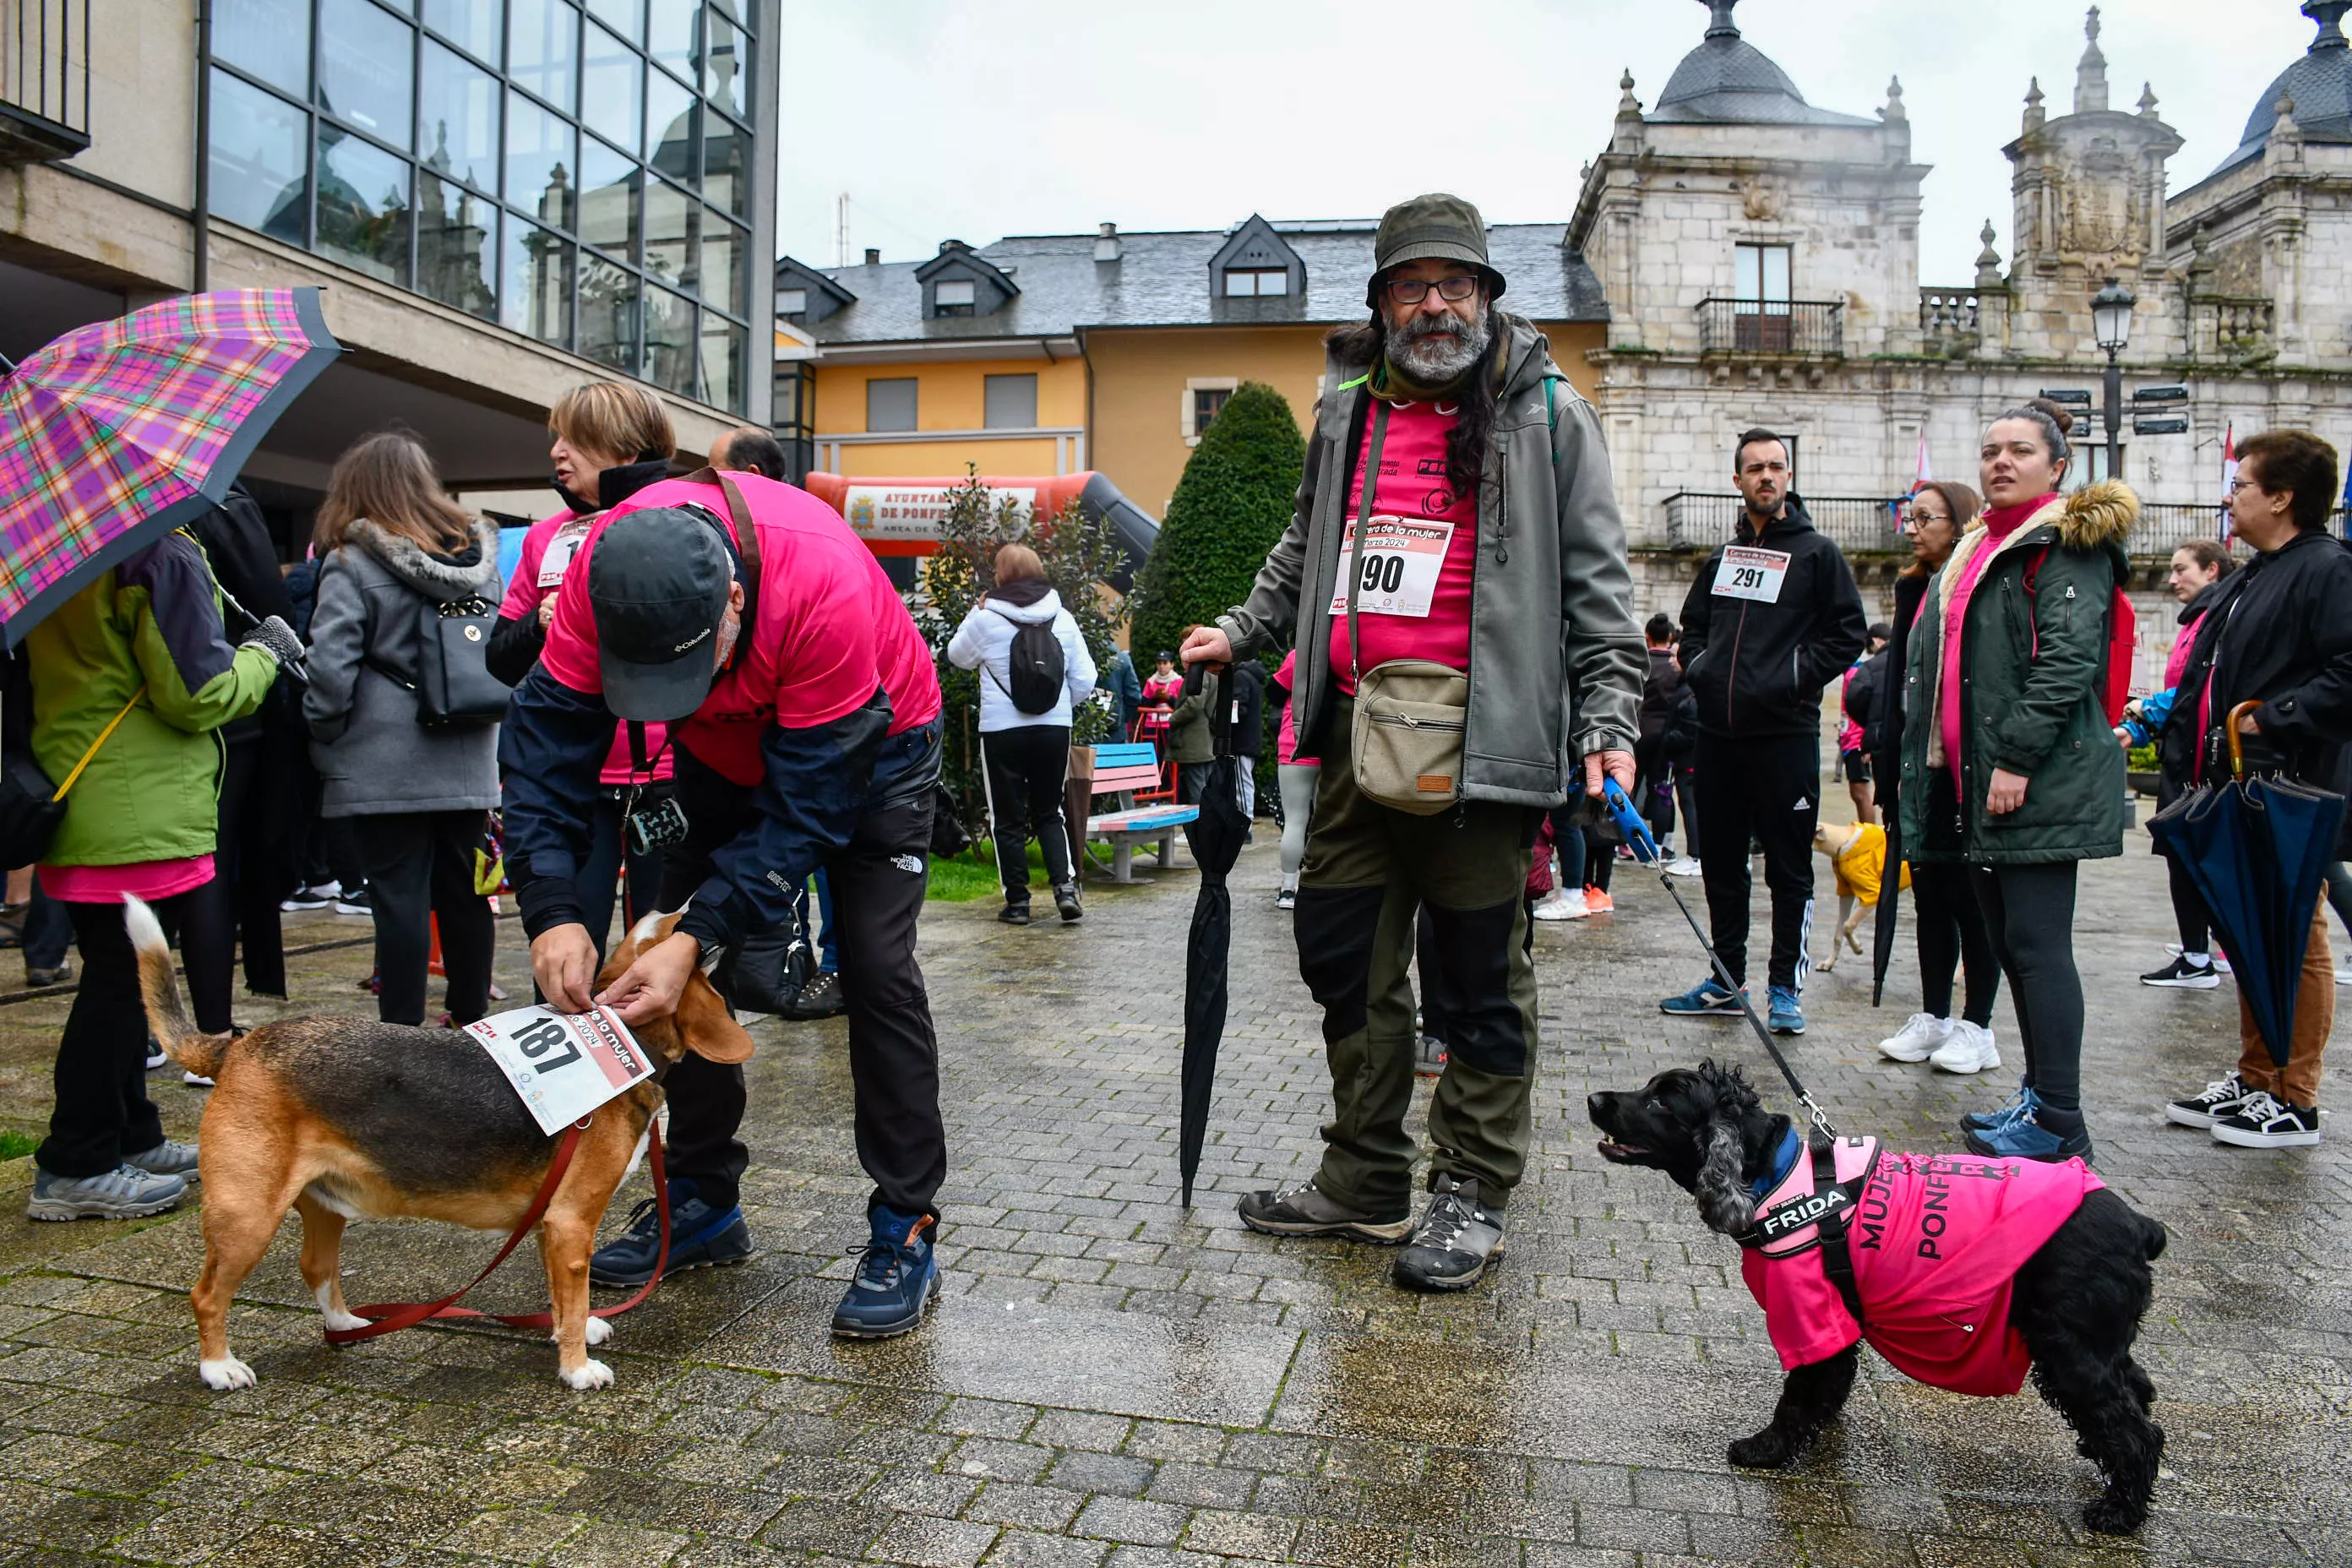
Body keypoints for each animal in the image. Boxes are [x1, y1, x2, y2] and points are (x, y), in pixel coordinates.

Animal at [128, 902, 752, 1391]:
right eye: (673, 927)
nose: (703, 909)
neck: (627, 1032)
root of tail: (237, 1046)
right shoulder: (572, 1221)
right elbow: (571, 1298)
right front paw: (576, 1367)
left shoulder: (552, 1226)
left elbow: (561, 1294)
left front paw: (566, 1334)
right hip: (248, 1216)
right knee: (207, 1295)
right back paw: (219, 1368)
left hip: (323, 1205)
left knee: (315, 1268)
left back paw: (349, 1326)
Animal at [1580, 1067, 2164, 1533]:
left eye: (1662, 1102)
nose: (1593, 1098)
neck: (1777, 1178)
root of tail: (2141, 1225)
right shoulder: (1837, 1321)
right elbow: (1829, 1383)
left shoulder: (1809, 1312)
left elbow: (1799, 1392)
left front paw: (1767, 1449)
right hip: (2097, 1343)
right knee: (2138, 1394)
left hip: (2070, 1349)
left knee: (2138, 1433)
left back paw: (2119, 1513)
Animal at [1806, 822, 1900, 968]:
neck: (1843, 842)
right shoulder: (1846, 894)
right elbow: (1839, 931)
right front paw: (1829, 962)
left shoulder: (1873, 896)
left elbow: (1848, 926)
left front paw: (1857, 948)